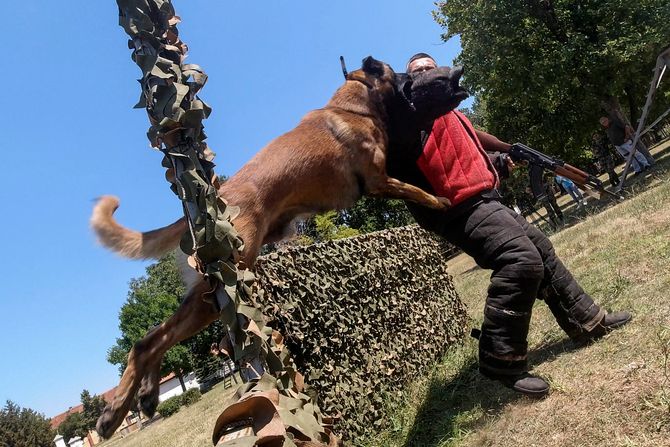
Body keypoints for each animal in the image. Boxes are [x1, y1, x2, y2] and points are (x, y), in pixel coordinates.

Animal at [92, 57, 464, 440]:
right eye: (397, 72)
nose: (418, 79)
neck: (351, 106)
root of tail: (200, 211)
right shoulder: (380, 180)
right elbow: (416, 190)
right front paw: (441, 200)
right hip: (219, 289)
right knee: (149, 342)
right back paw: (115, 414)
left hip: (208, 295)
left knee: (151, 339)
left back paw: (145, 397)